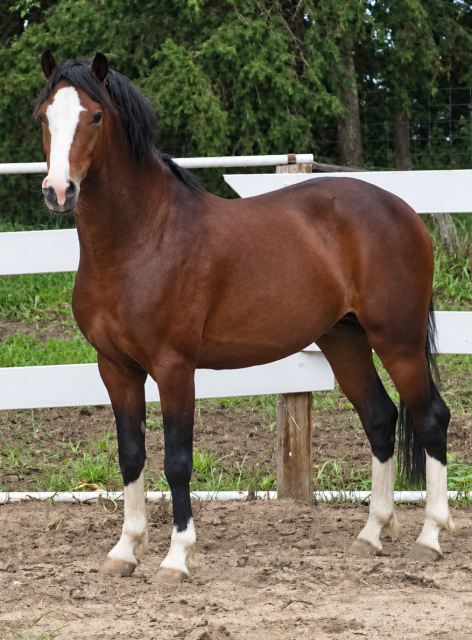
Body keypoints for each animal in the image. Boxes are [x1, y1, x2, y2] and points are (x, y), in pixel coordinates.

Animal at [35, 49, 453, 584]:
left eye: (95, 116)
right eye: (45, 117)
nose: (58, 190)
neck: (141, 239)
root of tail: (403, 210)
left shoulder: (174, 367)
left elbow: (177, 459)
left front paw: (177, 557)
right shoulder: (116, 369)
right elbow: (131, 455)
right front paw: (125, 550)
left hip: (397, 340)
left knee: (430, 417)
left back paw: (430, 538)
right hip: (345, 340)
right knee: (380, 419)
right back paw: (371, 534)